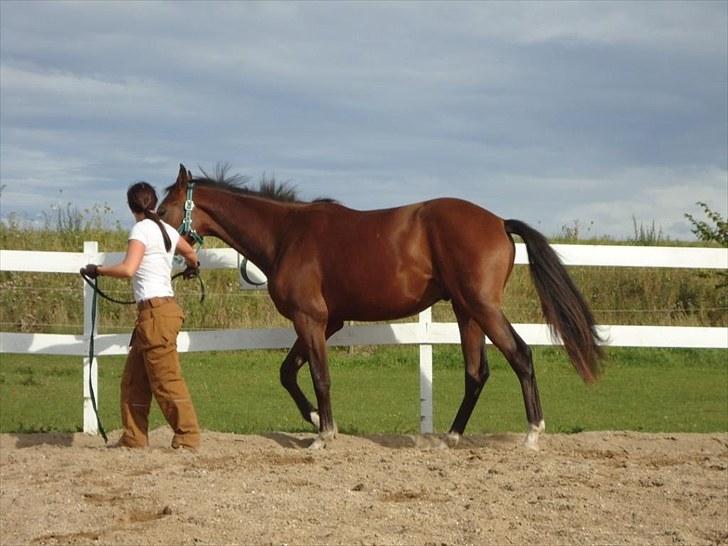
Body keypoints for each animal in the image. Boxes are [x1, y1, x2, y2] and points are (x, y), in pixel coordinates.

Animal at [159, 164, 604, 448]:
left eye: (162, 210)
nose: (167, 249)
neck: (287, 234)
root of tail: (498, 222)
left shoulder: (311, 319)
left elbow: (319, 376)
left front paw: (324, 435)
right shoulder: (328, 322)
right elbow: (288, 372)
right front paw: (316, 420)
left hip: (483, 308)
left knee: (521, 355)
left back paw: (532, 433)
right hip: (467, 312)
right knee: (477, 372)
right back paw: (451, 437)